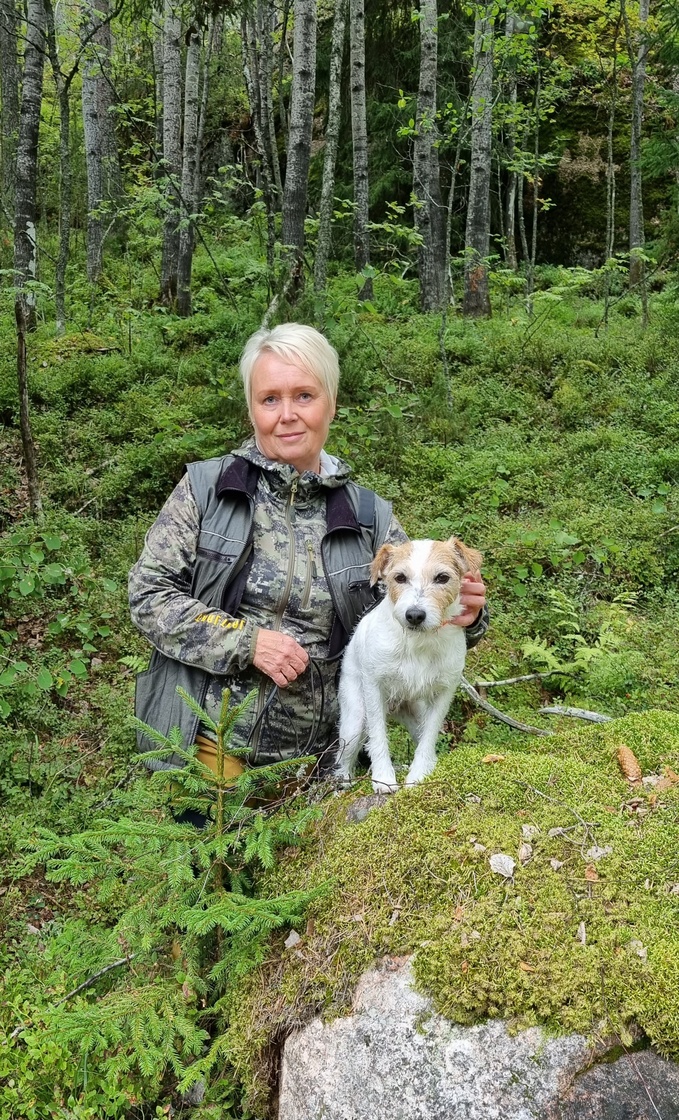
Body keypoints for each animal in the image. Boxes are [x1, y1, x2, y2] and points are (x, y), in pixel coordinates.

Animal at [335, 537, 483, 793]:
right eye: (400, 577)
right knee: (344, 760)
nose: (414, 615)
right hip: (354, 721)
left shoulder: (443, 694)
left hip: (417, 714)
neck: (418, 642)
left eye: (442, 578)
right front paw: (384, 777)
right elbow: (378, 737)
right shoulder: (373, 688)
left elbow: (428, 738)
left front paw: (419, 774)